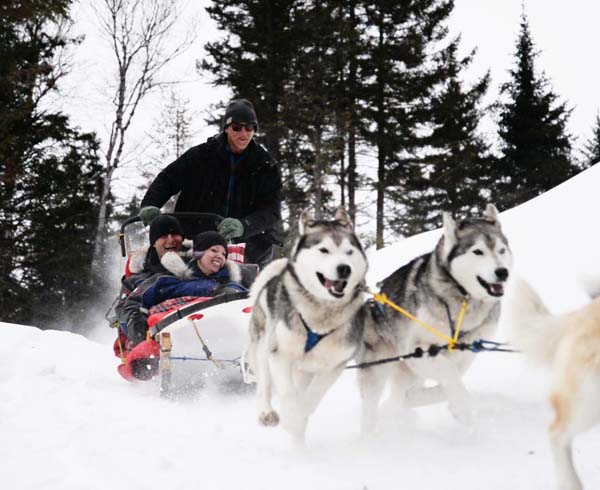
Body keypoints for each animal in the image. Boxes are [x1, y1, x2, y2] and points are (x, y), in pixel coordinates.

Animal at [245, 209, 368, 442]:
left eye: (349, 251)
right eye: (324, 250)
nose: (344, 269)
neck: (320, 318)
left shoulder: (334, 366)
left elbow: (311, 397)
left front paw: (299, 415)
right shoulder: (280, 355)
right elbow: (288, 393)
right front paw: (291, 414)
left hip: (304, 371)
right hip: (264, 347)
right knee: (263, 385)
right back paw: (267, 413)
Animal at [354, 205, 512, 430]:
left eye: (501, 250)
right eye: (478, 251)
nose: (502, 272)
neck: (463, 297)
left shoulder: (466, 351)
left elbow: (450, 377)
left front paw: (447, 401)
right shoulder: (417, 349)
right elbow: (449, 372)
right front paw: (461, 406)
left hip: (409, 371)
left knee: (401, 394)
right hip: (378, 368)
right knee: (372, 405)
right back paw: (371, 432)